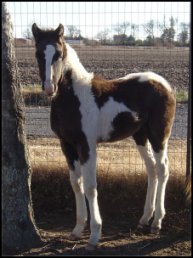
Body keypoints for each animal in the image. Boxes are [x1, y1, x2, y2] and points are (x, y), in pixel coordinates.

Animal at [32, 22, 176, 250]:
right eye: (38, 54)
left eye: (59, 54)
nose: (49, 88)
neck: (74, 98)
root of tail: (165, 84)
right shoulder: (67, 145)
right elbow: (76, 184)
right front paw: (77, 230)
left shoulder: (87, 146)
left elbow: (90, 187)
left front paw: (94, 235)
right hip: (140, 136)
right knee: (151, 169)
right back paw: (144, 219)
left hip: (158, 136)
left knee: (163, 170)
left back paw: (157, 223)